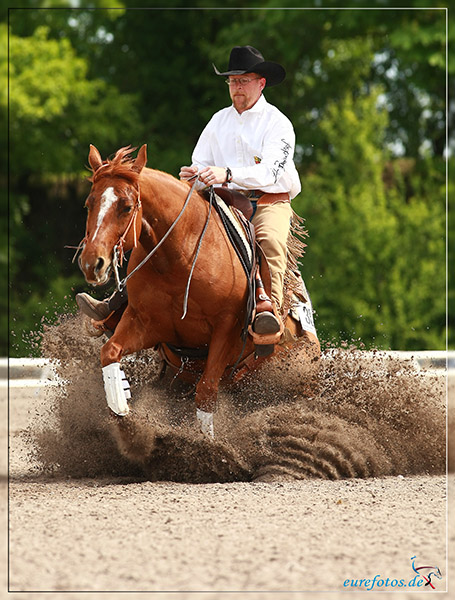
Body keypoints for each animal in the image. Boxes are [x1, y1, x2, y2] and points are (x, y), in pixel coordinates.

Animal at [78, 145, 320, 436]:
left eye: (126, 207)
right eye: (89, 204)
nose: (92, 263)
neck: (180, 256)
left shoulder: (225, 328)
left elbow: (206, 392)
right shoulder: (144, 321)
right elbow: (110, 352)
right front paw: (122, 411)